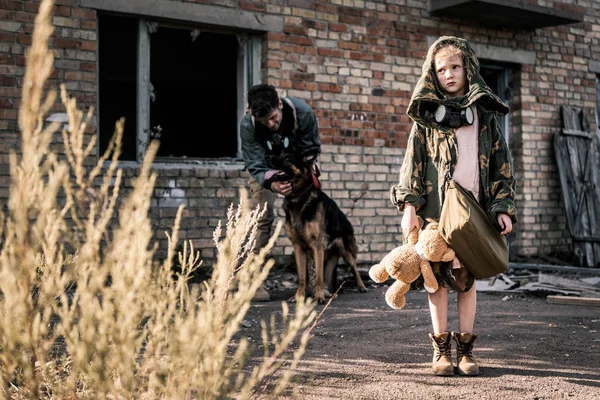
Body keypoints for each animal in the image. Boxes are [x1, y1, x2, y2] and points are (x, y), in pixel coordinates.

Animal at [278, 153, 368, 304]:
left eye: (288, 159)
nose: (267, 157)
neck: (298, 198)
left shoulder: (317, 246)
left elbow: (319, 276)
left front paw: (319, 297)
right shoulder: (298, 248)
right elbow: (302, 277)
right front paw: (298, 296)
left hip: (346, 252)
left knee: (354, 269)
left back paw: (361, 287)